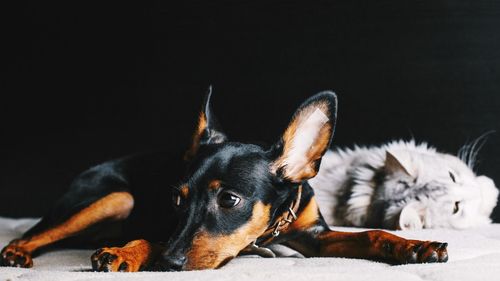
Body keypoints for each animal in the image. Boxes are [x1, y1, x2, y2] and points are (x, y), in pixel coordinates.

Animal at [0, 88, 448, 270]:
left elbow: (372, 234)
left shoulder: (315, 237)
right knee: (33, 233)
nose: (169, 265)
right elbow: (157, 238)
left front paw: (416, 247)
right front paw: (127, 253)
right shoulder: (168, 230)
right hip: (113, 199)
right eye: (177, 200)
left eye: (230, 200)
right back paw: (18, 252)